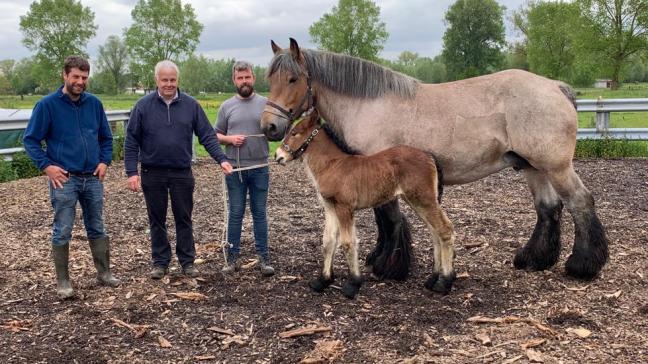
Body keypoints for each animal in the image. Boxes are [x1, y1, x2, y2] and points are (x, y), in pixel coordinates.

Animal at [274, 111, 456, 298]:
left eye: (294, 133)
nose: (278, 155)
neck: (333, 165)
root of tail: (429, 156)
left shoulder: (344, 207)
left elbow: (348, 242)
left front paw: (353, 284)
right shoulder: (330, 207)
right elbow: (328, 240)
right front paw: (322, 281)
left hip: (424, 200)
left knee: (445, 229)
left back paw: (444, 282)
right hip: (418, 202)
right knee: (434, 233)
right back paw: (433, 279)